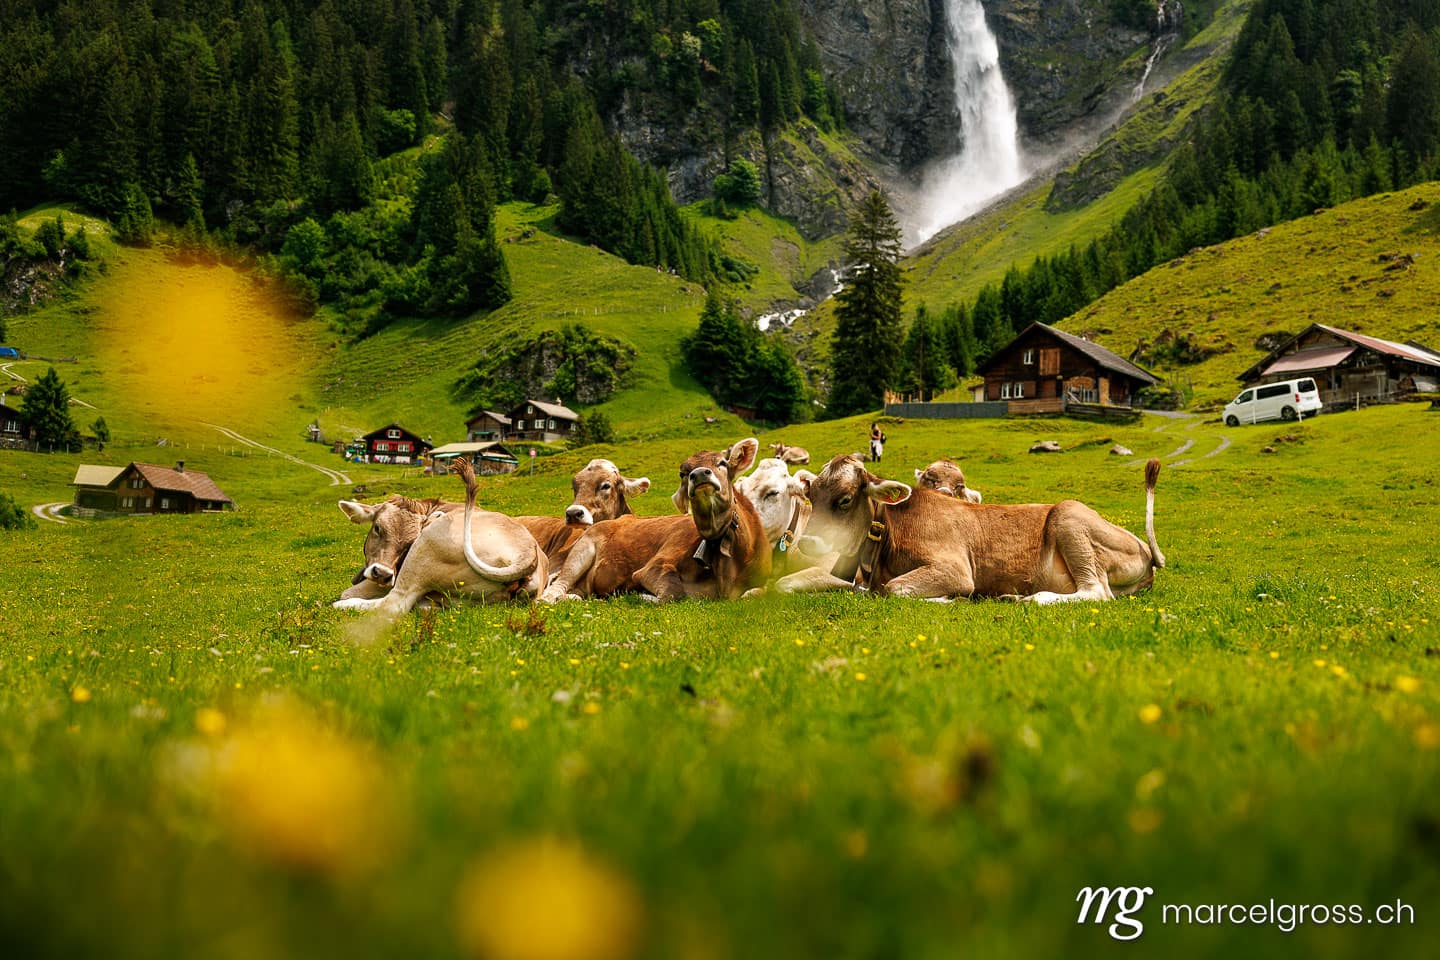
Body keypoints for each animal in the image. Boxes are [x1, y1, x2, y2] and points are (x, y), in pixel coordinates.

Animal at [333, 457, 546, 616]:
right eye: (377, 528)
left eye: (409, 543)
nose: (383, 574)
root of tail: (528, 552)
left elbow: (348, 592)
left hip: (425, 549)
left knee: (394, 604)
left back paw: (344, 606)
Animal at [539, 439, 770, 602]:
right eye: (683, 473)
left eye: (722, 463)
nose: (699, 474)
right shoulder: (652, 567)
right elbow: (674, 592)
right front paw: (642, 595)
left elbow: (757, 592)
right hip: (581, 551)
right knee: (554, 589)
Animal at [777, 455, 1165, 603]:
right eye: (810, 495)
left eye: (844, 499)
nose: (808, 543)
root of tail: (1145, 549)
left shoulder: (956, 568)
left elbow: (896, 589)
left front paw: (947, 599)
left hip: (1069, 518)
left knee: (1096, 591)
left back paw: (1032, 598)